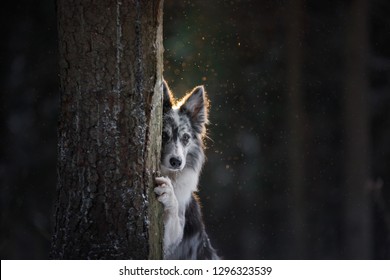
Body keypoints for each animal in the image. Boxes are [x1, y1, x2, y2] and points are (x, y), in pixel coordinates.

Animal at [154, 80, 219, 260]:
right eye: (163, 135)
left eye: (186, 138)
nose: (176, 161)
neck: (170, 175)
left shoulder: (170, 243)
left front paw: (168, 193)